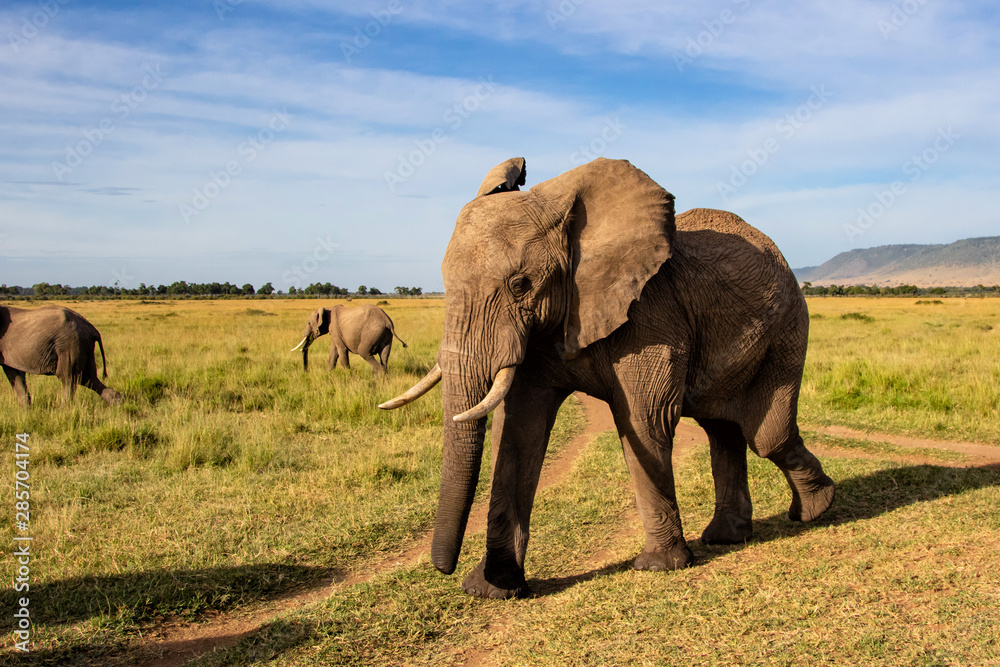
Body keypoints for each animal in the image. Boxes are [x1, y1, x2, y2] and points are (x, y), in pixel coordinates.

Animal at [380, 157, 835, 599]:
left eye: (520, 284)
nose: (443, 570)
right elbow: (519, 432)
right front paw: (491, 589)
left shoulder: (651, 311)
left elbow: (645, 418)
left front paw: (658, 567)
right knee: (723, 431)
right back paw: (728, 537)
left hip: (787, 329)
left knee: (767, 435)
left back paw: (816, 510)